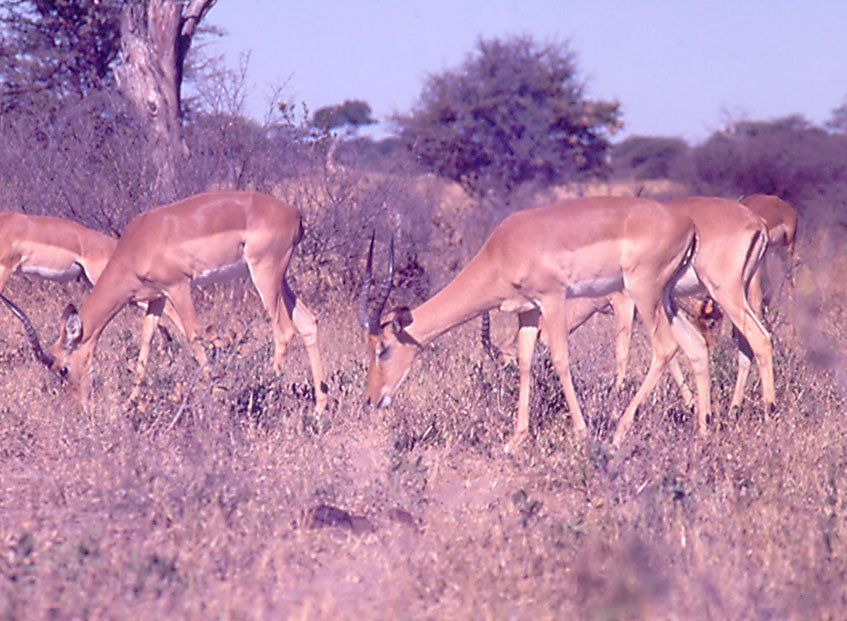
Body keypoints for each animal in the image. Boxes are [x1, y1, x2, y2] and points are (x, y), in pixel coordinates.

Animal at [5, 191, 327, 413]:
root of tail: (293, 212)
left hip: (265, 273)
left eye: (63, 368)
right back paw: (320, 408)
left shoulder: (178, 286)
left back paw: (264, 396)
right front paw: (131, 405)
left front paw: (218, 396)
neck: (141, 242)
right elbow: (146, 344)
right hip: (279, 278)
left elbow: (194, 336)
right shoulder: (156, 298)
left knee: (283, 330)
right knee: (308, 322)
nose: (78, 408)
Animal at [359, 197, 711, 452]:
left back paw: (619, 434)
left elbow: (560, 360)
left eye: (383, 349)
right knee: (696, 345)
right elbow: (527, 363)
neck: (503, 249)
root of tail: (690, 224)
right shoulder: (526, 312)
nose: (371, 399)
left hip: (644, 293)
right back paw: (703, 433)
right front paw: (514, 440)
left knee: (665, 348)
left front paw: (582, 433)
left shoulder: (553, 300)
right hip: (665, 297)